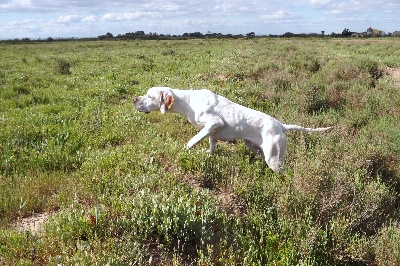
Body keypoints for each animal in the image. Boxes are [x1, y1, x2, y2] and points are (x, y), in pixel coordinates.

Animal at [133, 87, 332, 172]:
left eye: (149, 96)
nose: (134, 100)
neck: (188, 101)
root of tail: (281, 125)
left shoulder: (214, 122)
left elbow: (192, 140)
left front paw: (184, 151)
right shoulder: (212, 130)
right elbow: (211, 144)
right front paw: (209, 153)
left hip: (274, 158)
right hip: (255, 148)